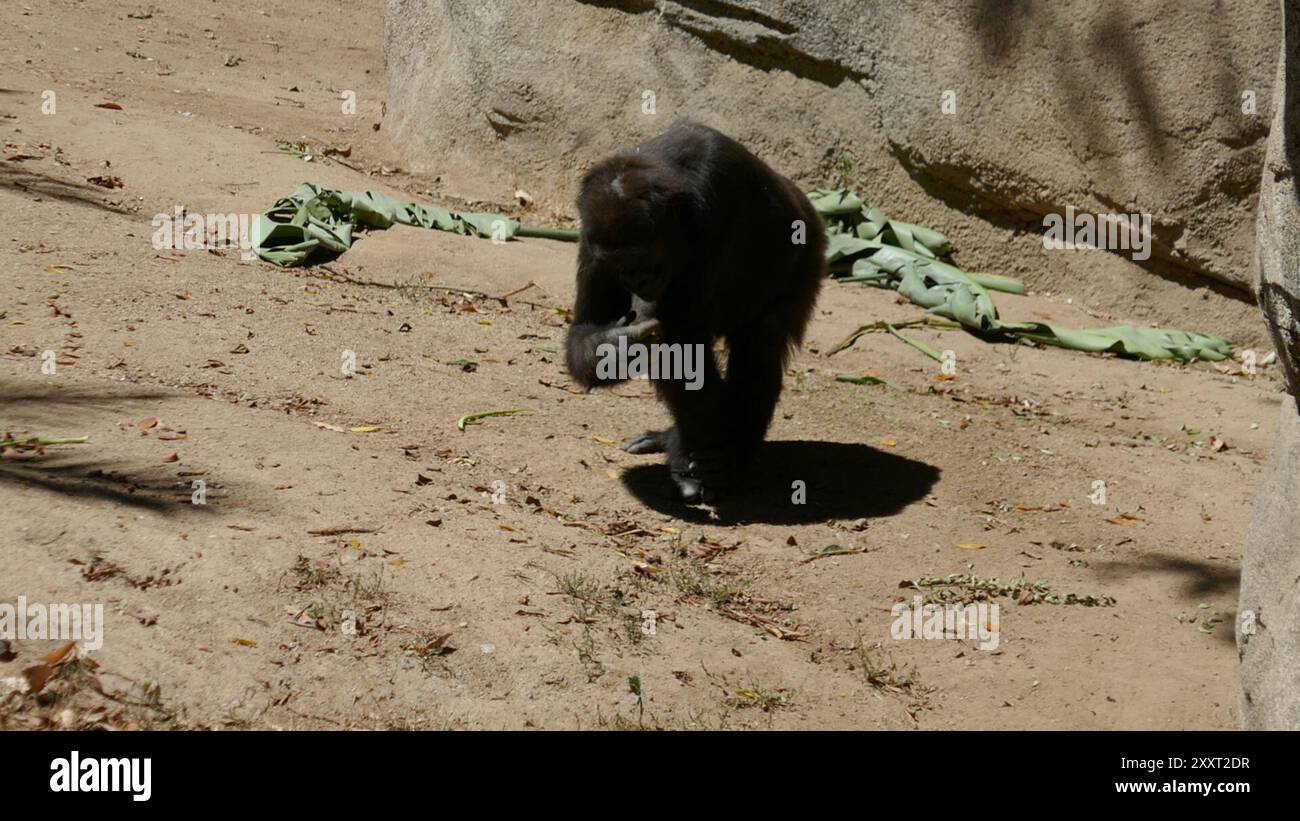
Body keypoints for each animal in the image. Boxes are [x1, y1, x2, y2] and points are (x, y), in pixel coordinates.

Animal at [565, 121, 826, 503]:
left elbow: (683, 351)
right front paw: (614, 345)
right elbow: (586, 329)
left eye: (643, 260)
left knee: (759, 349)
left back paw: (731, 455)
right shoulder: (591, 235)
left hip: (809, 250)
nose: (636, 280)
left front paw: (705, 459)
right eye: (618, 266)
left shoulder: (709, 215)